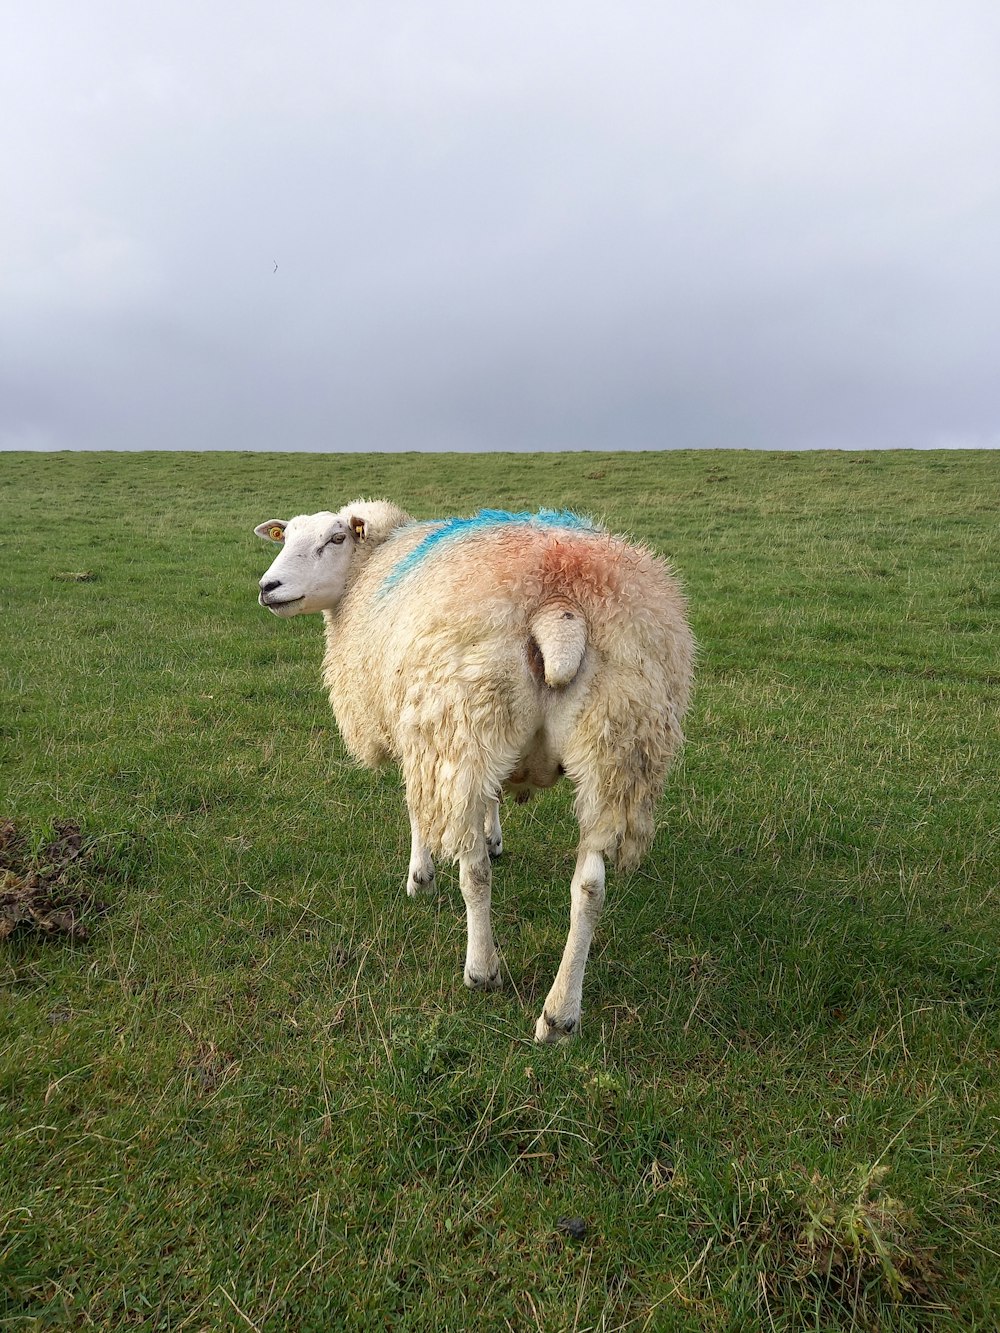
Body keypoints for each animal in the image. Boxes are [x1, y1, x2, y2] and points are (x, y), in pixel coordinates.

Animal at [256, 501, 698, 1039]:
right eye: (284, 537)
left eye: (335, 538)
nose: (268, 587)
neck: (371, 566)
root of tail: (562, 605)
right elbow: (494, 797)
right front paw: (495, 835)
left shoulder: (420, 733)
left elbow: (417, 810)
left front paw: (420, 877)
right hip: (617, 745)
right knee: (590, 887)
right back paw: (560, 1014)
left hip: (463, 721)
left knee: (476, 874)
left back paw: (482, 970)